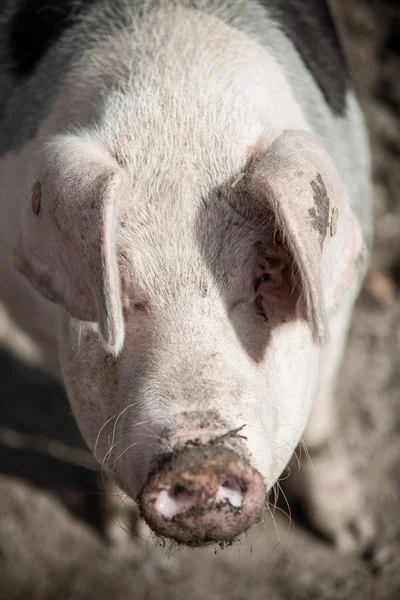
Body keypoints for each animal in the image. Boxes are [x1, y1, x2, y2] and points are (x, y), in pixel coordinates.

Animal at [0, 0, 374, 552]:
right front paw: (126, 539)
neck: (178, 107)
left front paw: (352, 536)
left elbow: (323, 416)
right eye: (122, 292)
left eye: (264, 276)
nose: (203, 459)